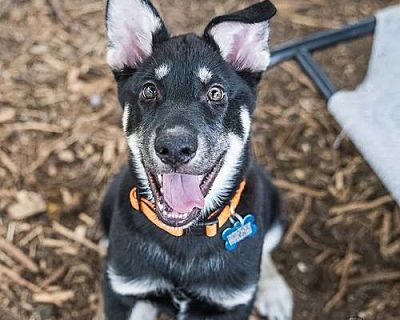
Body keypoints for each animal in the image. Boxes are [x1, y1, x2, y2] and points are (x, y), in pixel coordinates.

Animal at [101, 1, 294, 318]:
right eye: (149, 90)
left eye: (215, 93)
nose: (174, 148)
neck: (186, 236)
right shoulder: (122, 292)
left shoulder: (232, 305)